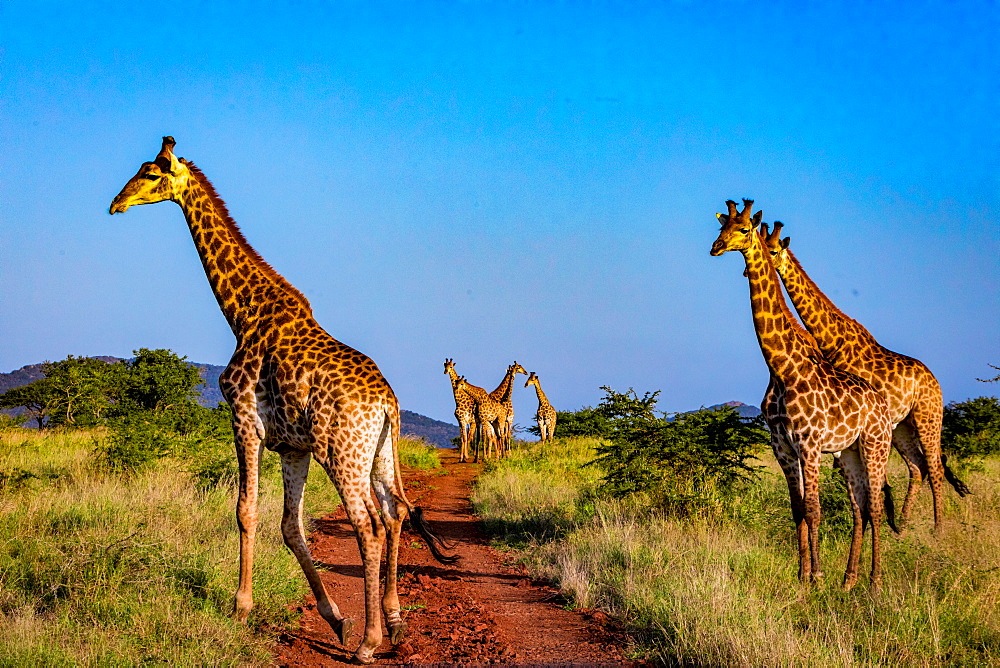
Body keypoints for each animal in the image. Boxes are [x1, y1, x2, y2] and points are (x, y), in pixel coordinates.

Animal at [108, 137, 454, 664]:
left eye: (151, 174)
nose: (116, 203)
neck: (242, 312)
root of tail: (388, 404)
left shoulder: (245, 420)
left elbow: (245, 510)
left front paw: (240, 609)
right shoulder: (292, 446)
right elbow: (291, 526)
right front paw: (335, 618)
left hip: (342, 454)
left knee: (370, 525)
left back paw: (369, 643)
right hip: (377, 453)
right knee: (395, 513)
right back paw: (392, 624)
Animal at [712, 198, 900, 588]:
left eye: (743, 229)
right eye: (721, 227)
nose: (715, 248)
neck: (781, 368)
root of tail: (882, 405)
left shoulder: (810, 445)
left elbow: (814, 510)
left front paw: (816, 575)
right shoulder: (782, 446)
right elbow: (797, 509)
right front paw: (802, 575)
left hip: (875, 445)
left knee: (875, 506)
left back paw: (874, 582)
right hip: (849, 452)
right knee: (861, 506)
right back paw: (850, 579)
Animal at [756, 222, 968, 524]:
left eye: (773, 250)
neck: (832, 341)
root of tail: (934, 380)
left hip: (927, 416)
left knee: (935, 466)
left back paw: (937, 528)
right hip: (902, 426)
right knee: (918, 466)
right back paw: (902, 524)